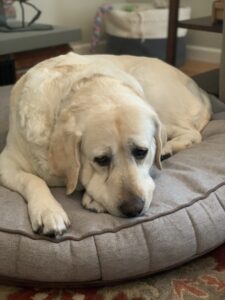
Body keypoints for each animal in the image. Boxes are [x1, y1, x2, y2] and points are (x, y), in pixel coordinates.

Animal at [0, 52, 211, 236]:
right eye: (101, 159)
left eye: (141, 152)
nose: (133, 208)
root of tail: (201, 91)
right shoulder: (6, 163)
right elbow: (33, 180)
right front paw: (48, 211)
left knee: (191, 133)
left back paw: (166, 150)